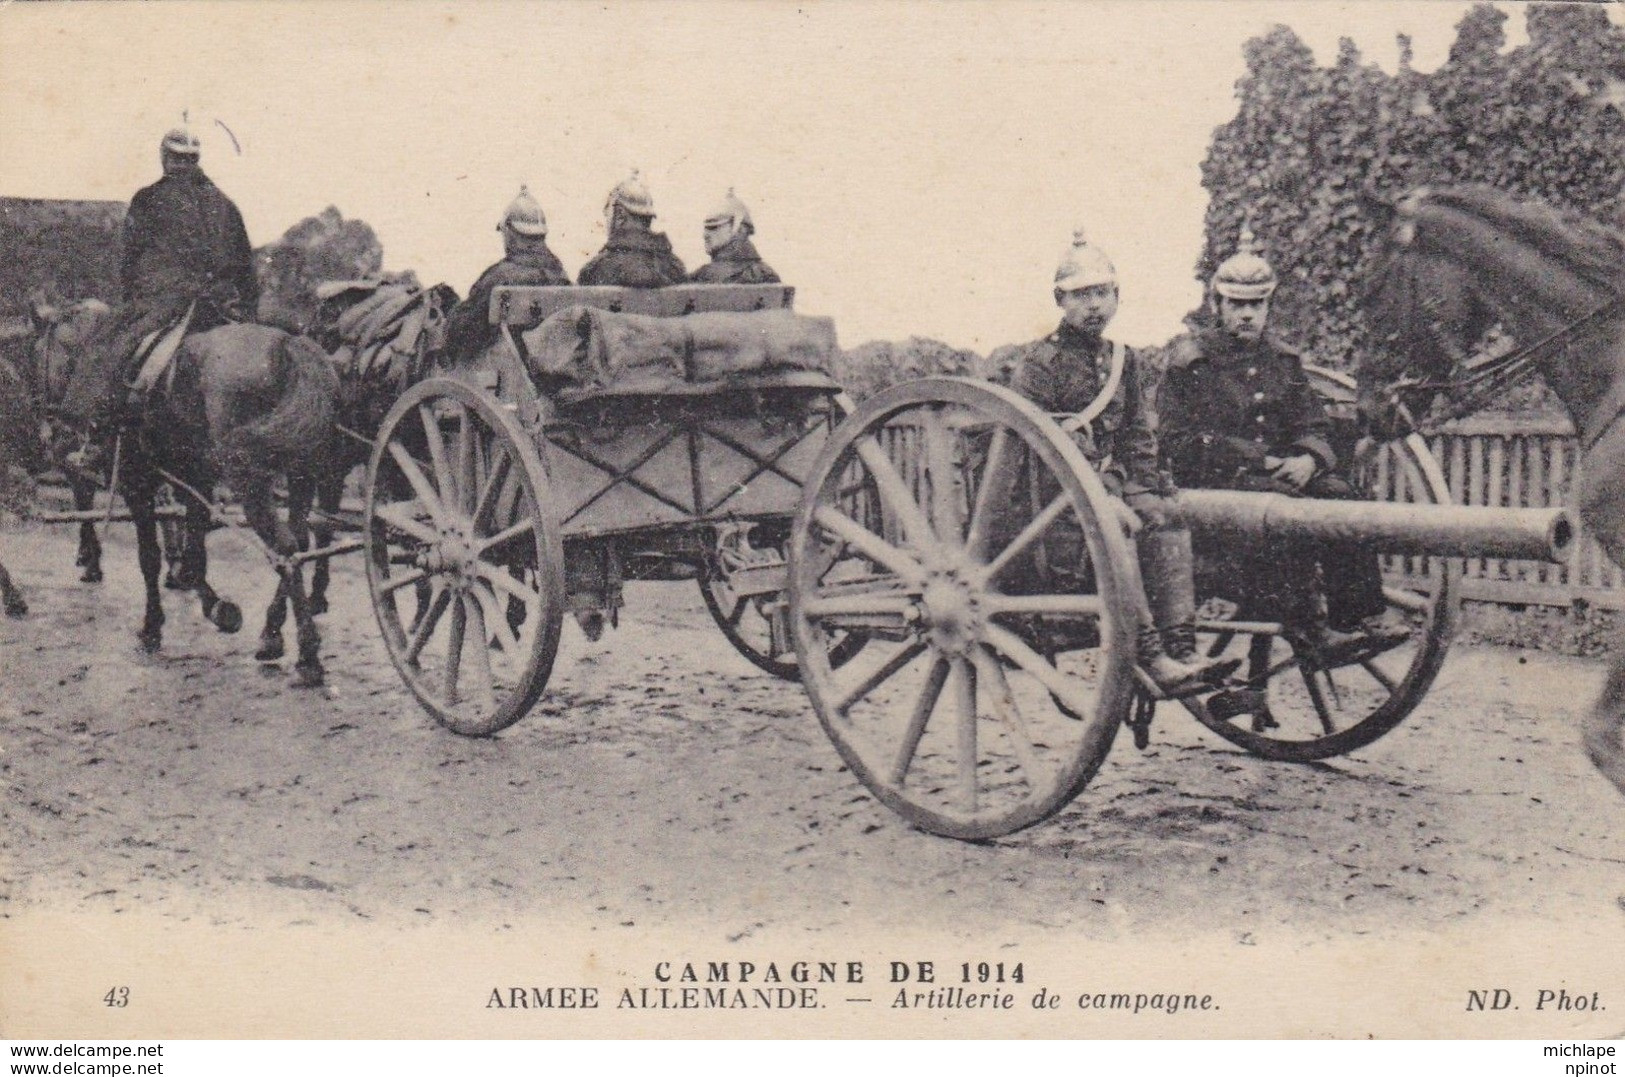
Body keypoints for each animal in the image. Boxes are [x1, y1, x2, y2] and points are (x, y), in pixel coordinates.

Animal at [38, 297, 338, 682]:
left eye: (39, 354)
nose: (50, 430)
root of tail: (289, 347)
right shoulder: (197, 481)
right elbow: (193, 556)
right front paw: (217, 607)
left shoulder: (137, 483)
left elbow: (149, 557)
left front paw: (152, 628)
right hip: (302, 476)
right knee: (299, 542)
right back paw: (272, 635)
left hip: (251, 482)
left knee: (284, 546)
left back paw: (307, 654)